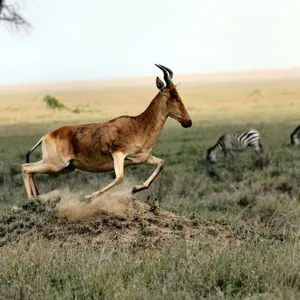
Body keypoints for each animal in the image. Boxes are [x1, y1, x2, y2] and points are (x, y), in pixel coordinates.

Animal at [22, 63, 193, 199]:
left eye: (178, 94)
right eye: (173, 96)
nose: (188, 122)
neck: (137, 124)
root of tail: (46, 136)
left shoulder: (141, 157)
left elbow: (161, 163)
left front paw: (136, 188)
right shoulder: (118, 154)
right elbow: (119, 178)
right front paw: (88, 197)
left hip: (65, 168)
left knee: (30, 170)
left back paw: (37, 197)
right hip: (55, 165)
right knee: (26, 168)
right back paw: (32, 200)